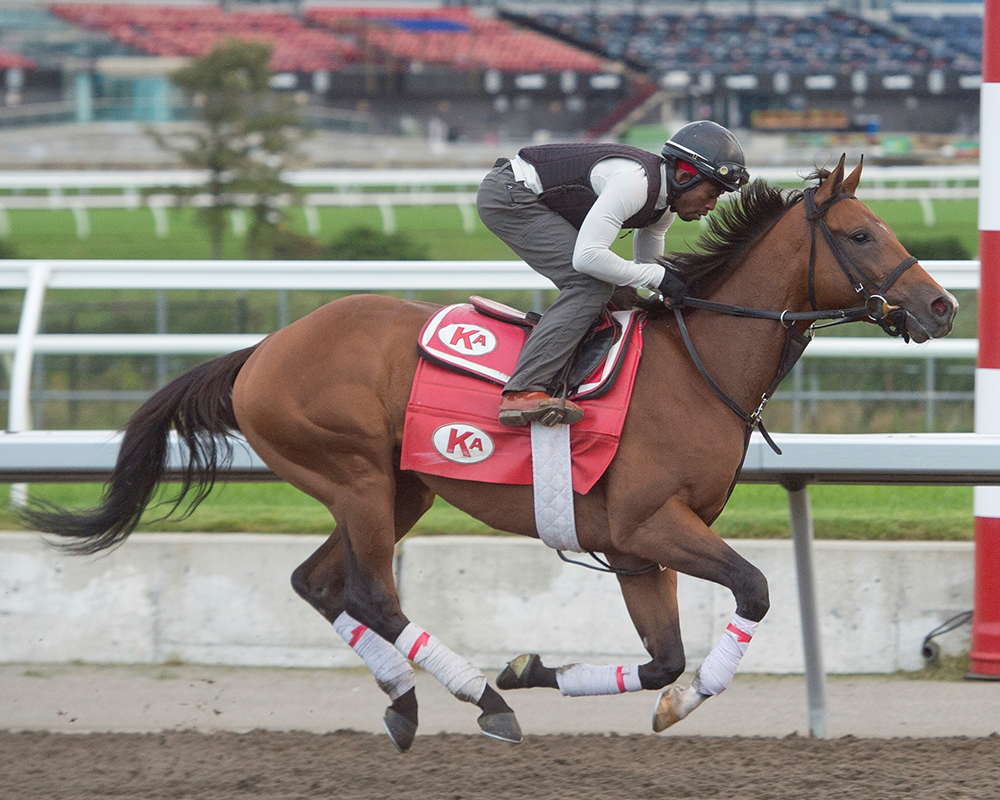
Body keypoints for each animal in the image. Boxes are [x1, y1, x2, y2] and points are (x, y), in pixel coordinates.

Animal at [24, 156, 957, 751]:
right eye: (862, 234)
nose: (942, 306)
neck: (700, 364)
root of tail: (262, 350)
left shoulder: (631, 550)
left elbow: (663, 656)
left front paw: (549, 671)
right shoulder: (652, 525)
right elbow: (753, 593)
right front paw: (678, 701)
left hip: (399, 489)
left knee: (319, 584)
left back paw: (409, 705)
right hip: (356, 476)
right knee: (370, 592)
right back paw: (478, 698)